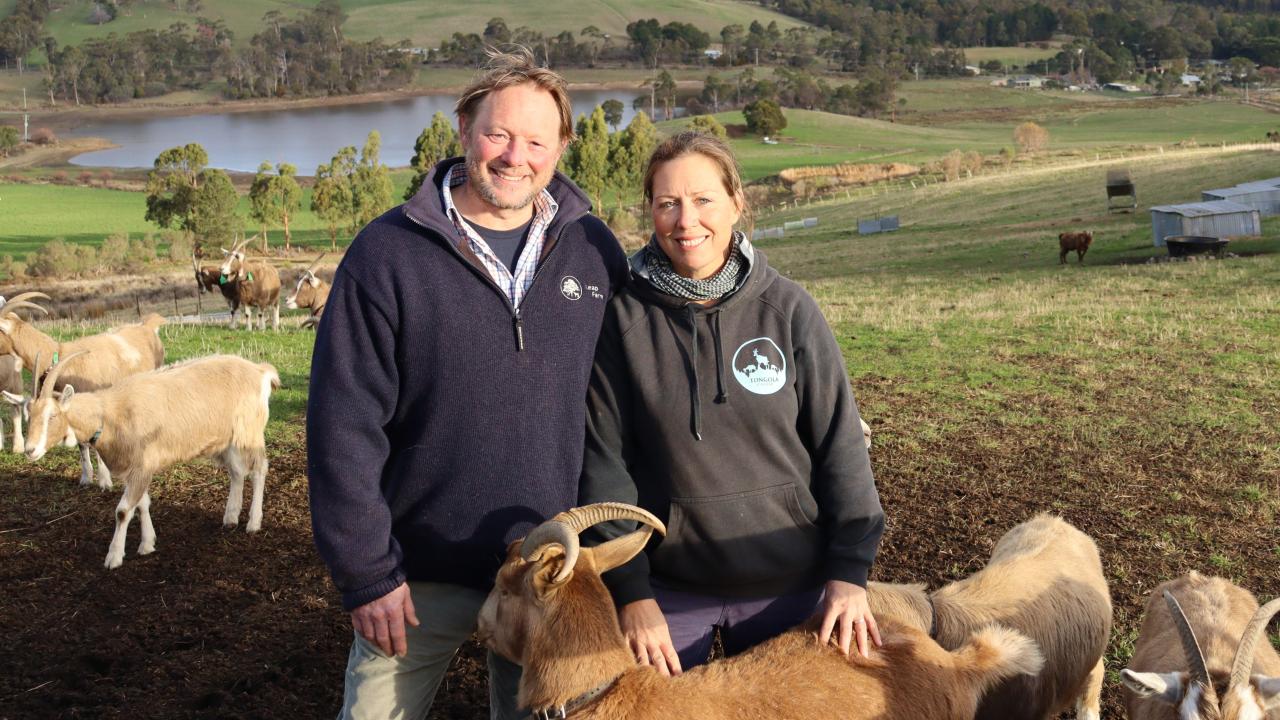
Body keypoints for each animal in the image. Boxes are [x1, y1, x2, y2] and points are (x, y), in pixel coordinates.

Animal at [15, 351, 280, 566]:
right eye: (30, 414)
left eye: (52, 416)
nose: (30, 450)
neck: (109, 414)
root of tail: (260, 371)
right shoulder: (134, 470)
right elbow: (142, 504)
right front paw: (147, 544)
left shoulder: (142, 466)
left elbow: (123, 511)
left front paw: (114, 557)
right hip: (226, 440)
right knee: (237, 472)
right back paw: (231, 517)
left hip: (250, 431)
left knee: (259, 469)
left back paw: (253, 523)